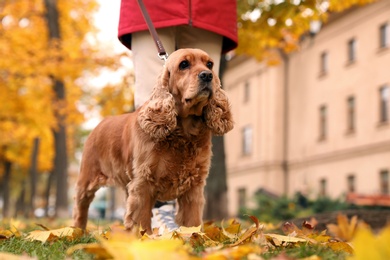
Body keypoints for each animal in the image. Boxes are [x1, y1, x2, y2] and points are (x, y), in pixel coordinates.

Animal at [72, 48, 232, 234]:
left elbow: (192, 220)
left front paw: (193, 237)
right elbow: (140, 219)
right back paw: (76, 231)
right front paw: (143, 238)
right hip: (86, 180)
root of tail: (99, 125)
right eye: (184, 64)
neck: (184, 131)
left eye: (210, 64)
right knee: (80, 207)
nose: (207, 75)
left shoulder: (194, 185)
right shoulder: (143, 181)